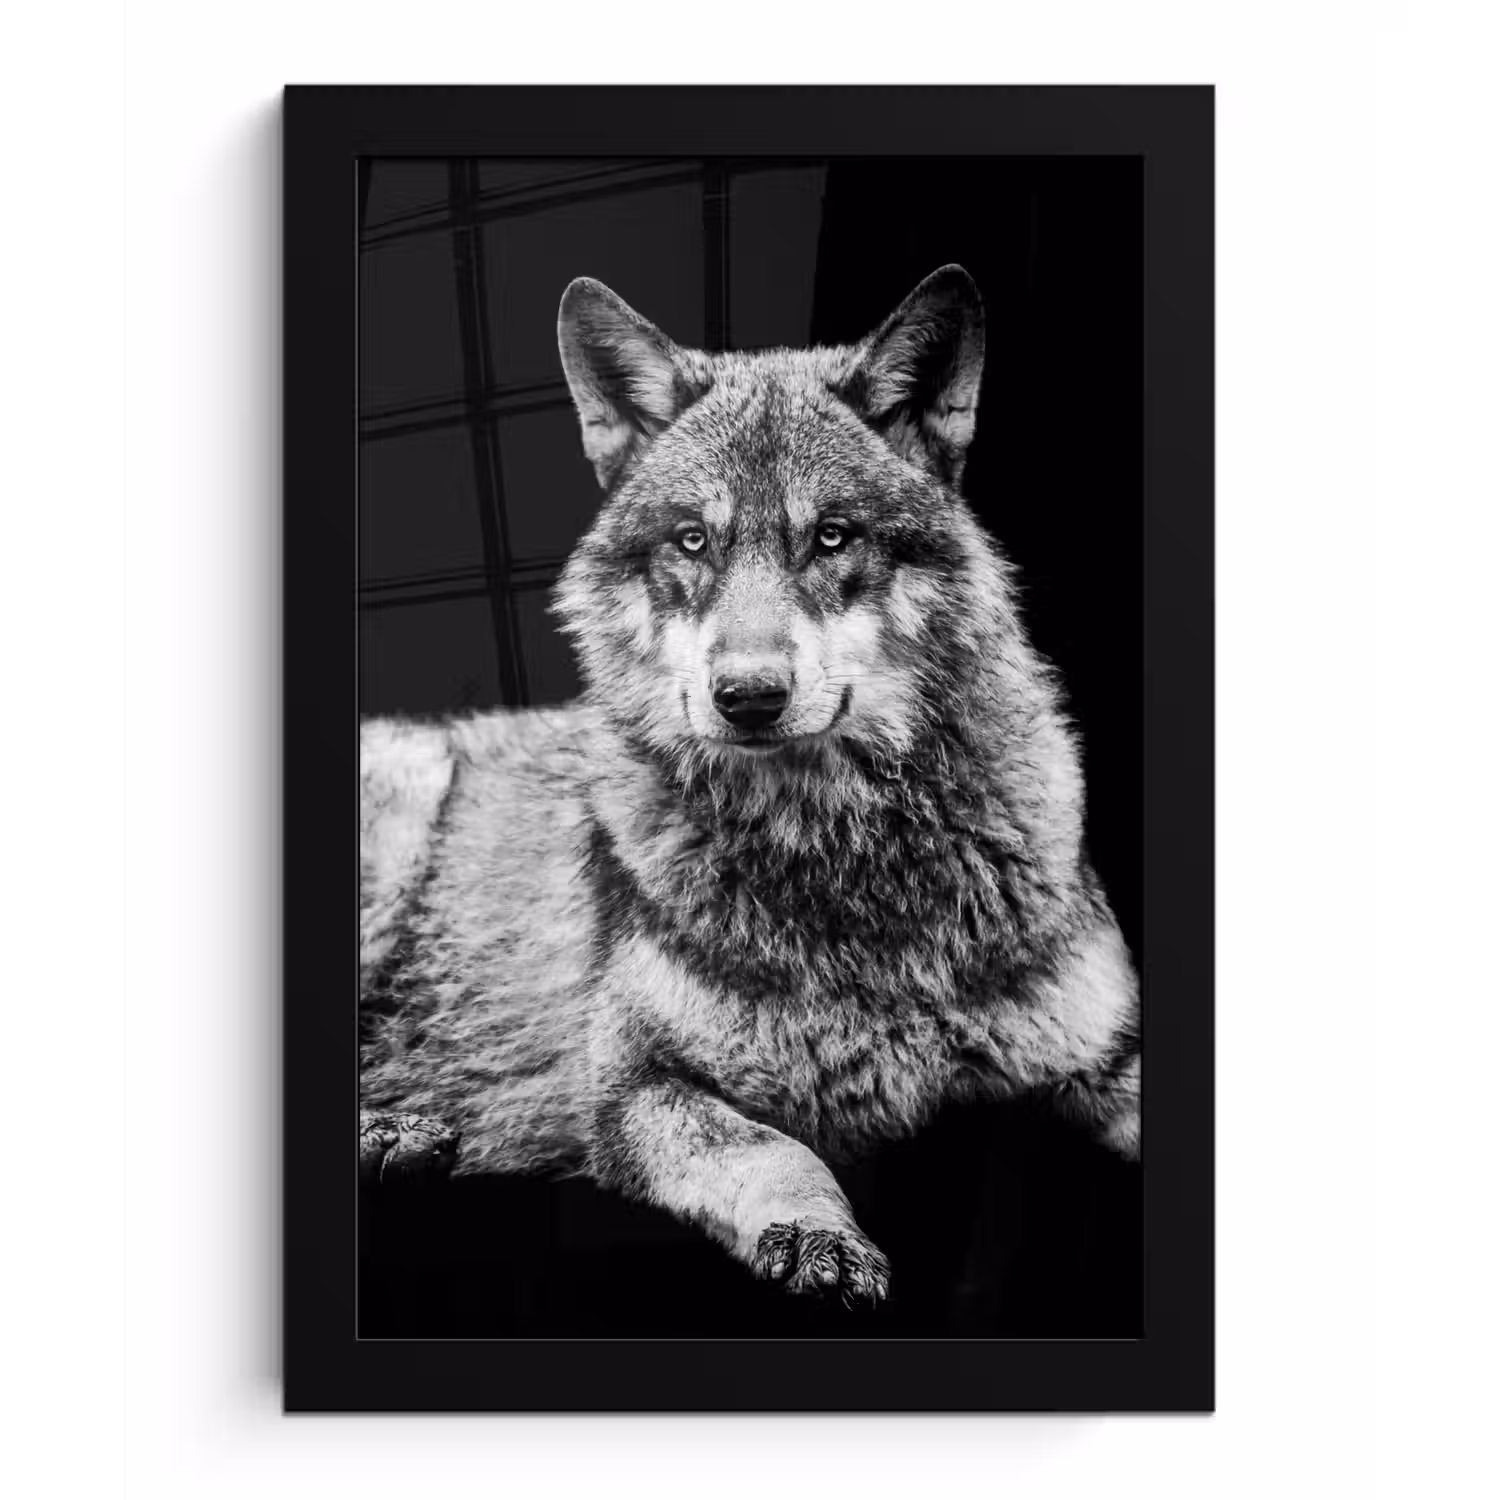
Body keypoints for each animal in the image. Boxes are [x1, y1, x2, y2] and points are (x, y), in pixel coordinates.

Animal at [358, 265, 1140, 1305]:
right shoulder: (635, 1088)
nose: (749, 698)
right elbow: (777, 1149)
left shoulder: (1109, 1051)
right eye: (694, 542)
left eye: (833, 537)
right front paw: (817, 1235)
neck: (842, 858)